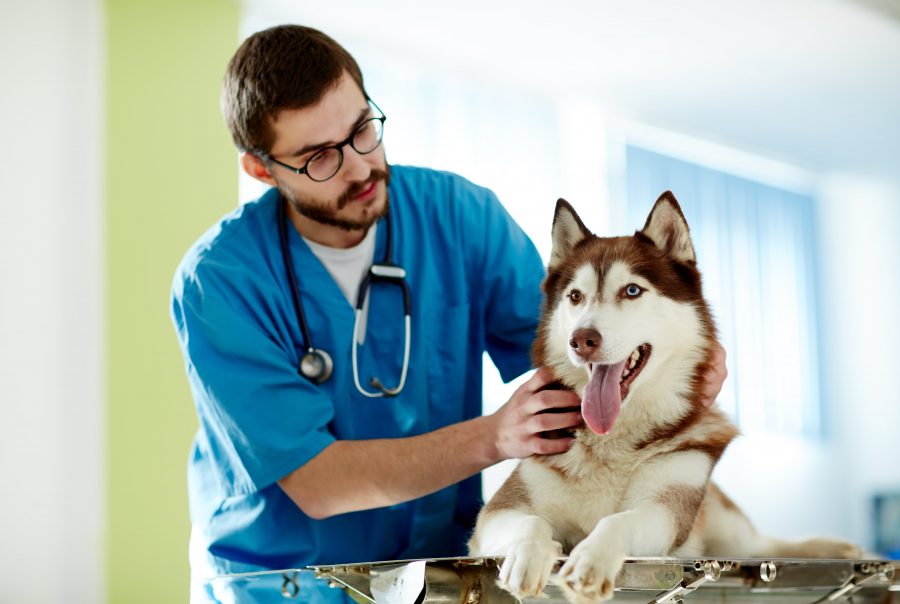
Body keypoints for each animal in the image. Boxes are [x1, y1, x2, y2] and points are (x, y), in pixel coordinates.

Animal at [468, 195, 860, 604]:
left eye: (632, 291)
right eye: (575, 296)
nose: (581, 339)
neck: (612, 440)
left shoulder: (665, 511)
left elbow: (618, 520)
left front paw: (592, 558)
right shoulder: (497, 514)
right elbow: (530, 522)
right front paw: (527, 555)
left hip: (722, 524)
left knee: (762, 545)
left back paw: (834, 546)